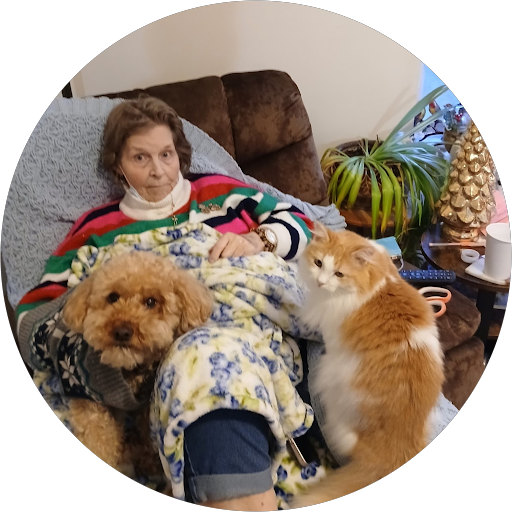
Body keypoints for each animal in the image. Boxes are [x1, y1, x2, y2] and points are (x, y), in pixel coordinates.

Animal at [61, 250, 213, 477]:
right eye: (112, 297)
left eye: (151, 301)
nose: (122, 331)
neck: (129, 373)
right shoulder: (87, 401)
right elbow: (98, 438)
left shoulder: (145, 407)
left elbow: (146, 434)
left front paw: (149, 460)